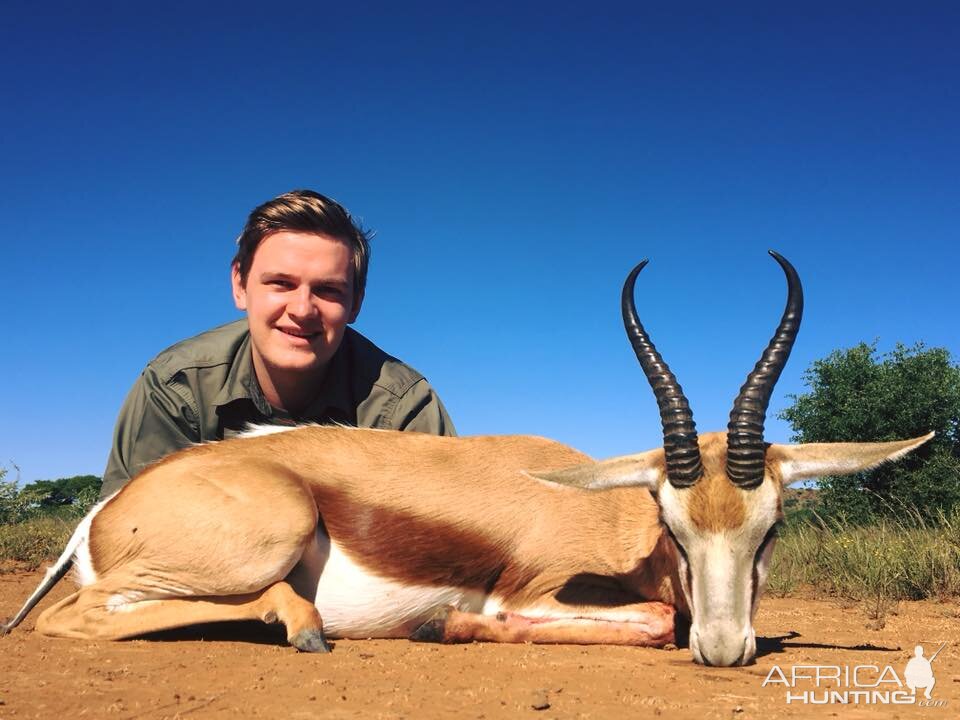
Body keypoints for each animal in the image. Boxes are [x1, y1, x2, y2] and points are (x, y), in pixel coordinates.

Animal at [0, 250, 928, 668]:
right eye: (671, 525)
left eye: (771, 528)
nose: (726, 649)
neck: (604, 516)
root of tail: (105, 513)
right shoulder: (532, 589)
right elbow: (654, 621)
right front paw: (442, 622)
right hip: (272, 530)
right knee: (69, 618)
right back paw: (304, 625)